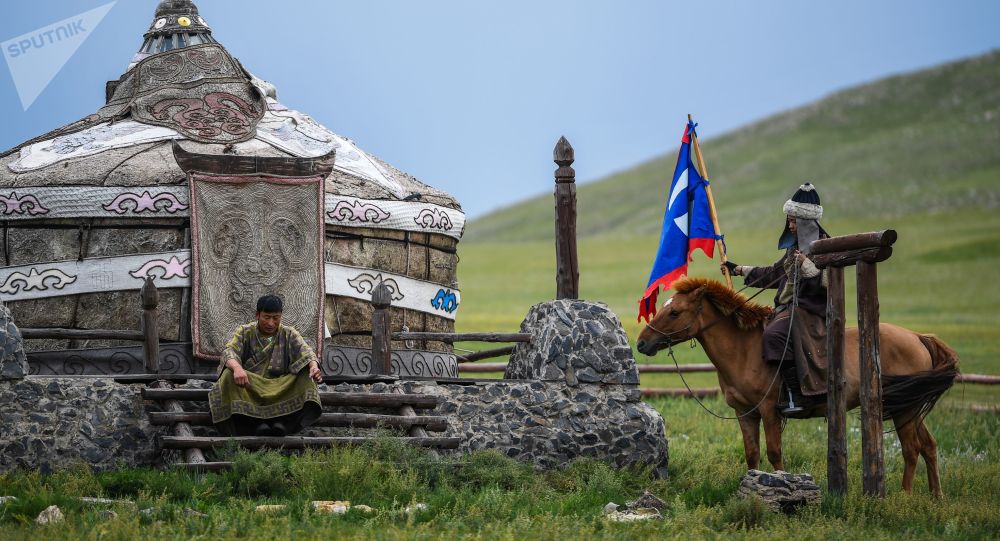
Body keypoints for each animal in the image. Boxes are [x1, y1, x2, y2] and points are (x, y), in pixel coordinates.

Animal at [636, 278, 956, 494]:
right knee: (929, 445)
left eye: (675, 312)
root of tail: (918, 337)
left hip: (904, 410)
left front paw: (783, 486)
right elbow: (752, 453)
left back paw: (904, 495)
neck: (743, 349)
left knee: (912, 449)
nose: (642, 343)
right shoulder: (745, 412)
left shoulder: (768, 410)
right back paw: (936, 497)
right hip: (910, 406)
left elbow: (774, 452)